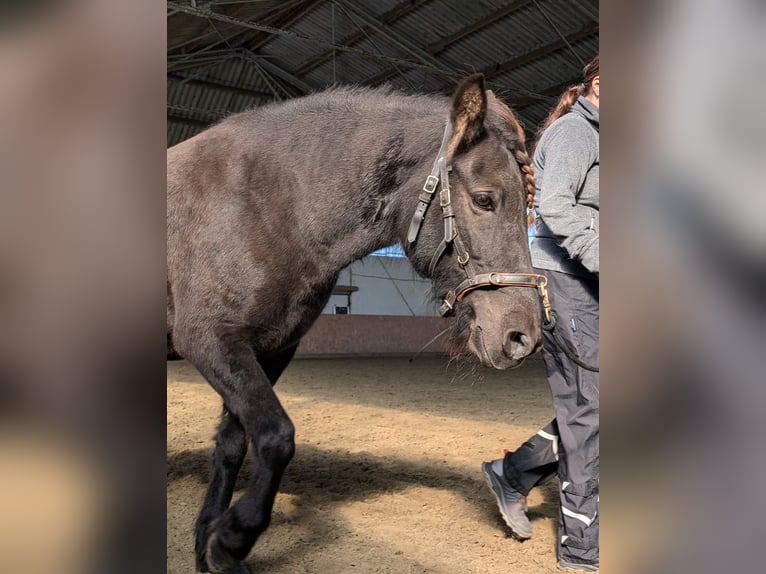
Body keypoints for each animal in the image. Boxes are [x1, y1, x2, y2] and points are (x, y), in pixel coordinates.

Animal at [167, 73, 546, 573]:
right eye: (485, 199)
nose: (523, 337)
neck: (266, 202)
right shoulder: (210, 340)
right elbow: (275, 437)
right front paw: (232, 538)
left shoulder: (269, 349)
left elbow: (232, 444)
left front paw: (210, 542)